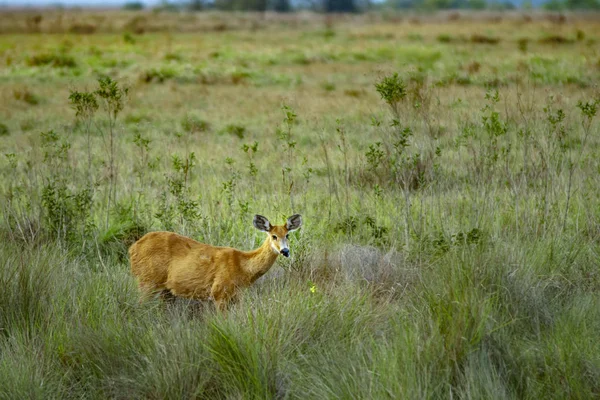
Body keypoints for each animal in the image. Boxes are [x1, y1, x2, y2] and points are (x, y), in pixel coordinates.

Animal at [128, 212, 302, 310]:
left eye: (288, 235)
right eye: (274, 236)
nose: (285, 251)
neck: (242, 266)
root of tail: (132, 249)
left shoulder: (237, 296)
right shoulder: (219, 292)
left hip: (166, 290)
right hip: (147, 280)